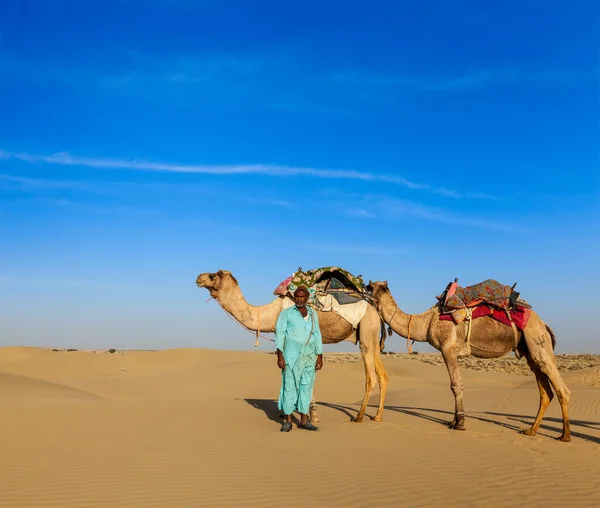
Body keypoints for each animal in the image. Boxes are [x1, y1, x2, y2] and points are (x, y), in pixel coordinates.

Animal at [195, 270, 386, 424]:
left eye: (214, 275)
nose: (199, 277)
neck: (271, 312)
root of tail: (375, 309)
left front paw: (310, 415)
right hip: (372, 336)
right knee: (382, 375)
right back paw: (377, 416)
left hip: (367, 329)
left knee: (371, 377)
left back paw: (359, 417)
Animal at [366, 280, 572, 438]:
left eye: (369, 287)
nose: (362, 290)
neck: (425, 323)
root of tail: (544, 324)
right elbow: (457, 385)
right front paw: (453, 421)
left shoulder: (448, 350)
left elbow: (455, 385)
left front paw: (459, 423)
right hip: (529, 350)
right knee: (545, 391)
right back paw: (531, 430)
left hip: (538, 340)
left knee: (560, 387)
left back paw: (565, 435)